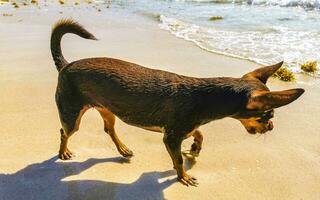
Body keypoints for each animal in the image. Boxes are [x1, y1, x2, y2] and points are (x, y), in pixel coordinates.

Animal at [51, 19, 304, 187]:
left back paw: (123, 149)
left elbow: (199, 134)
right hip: (72, 115)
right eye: (267, 116)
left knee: (109, 129)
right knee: (64, 132)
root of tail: (66, 65)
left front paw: (195, 147)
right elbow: (179, 159)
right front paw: (183, 176)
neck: (207, 97)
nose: (271, 127)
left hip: (107, 108)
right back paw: (64, 152)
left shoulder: (184, 129)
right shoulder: (171, 137)